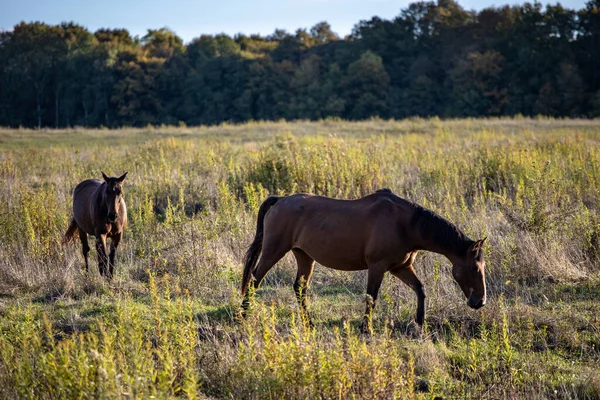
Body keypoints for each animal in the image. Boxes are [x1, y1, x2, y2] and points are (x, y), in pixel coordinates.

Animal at [241, 189, 486, 330]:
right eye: (475, 268)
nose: (480, 302)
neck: (406, 224)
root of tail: (280, 200)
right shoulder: (377, 267)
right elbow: (371, 298)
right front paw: (365, 328)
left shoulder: (401, 267)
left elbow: (420, 289)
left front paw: (420, 322)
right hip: (273, 251)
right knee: (253, 281)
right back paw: (244, 316)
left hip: (304, 256)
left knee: (300, 288)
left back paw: (308, 324)